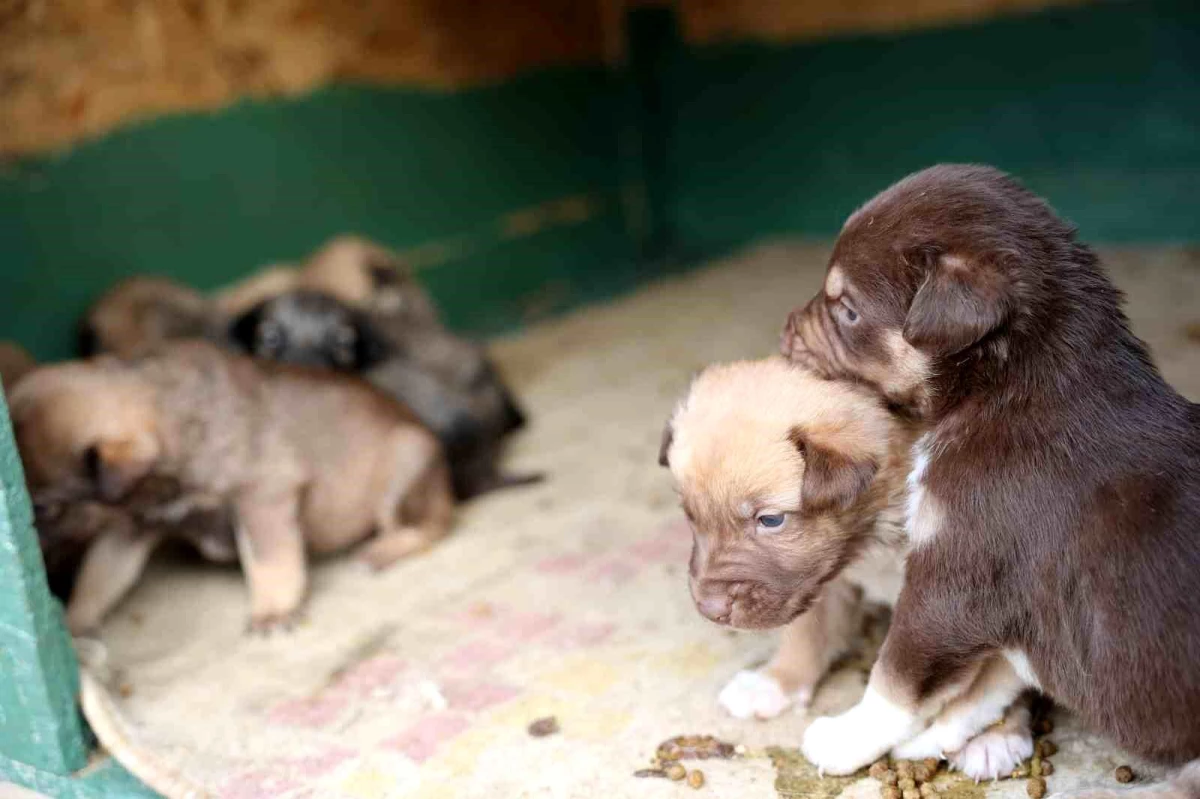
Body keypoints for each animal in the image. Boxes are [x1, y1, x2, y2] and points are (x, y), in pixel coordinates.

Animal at [12, 338, 453, 633]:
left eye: (44, 508)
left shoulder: (262, 496)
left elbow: (268, 560)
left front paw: (273, 610)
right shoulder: (131, 527)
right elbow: (99, 577)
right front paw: (74, 623)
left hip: (404, 464)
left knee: (433, 527)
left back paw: (382, 550)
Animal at [662, 355, 1036, 777]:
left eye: (770, 520)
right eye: (690, 515)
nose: (709, 610)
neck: (871, 534)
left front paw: (996, 734)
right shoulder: (819, 577)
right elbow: (807, 631)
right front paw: (776, 681)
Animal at [777, 161, 1200, 782]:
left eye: (847, 310)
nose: (786, 329)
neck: (1005, 388)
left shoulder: (952, 577)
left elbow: (894, 680)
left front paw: (845, 739)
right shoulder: (1017, 617)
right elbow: (993, 679)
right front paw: (937, 740)